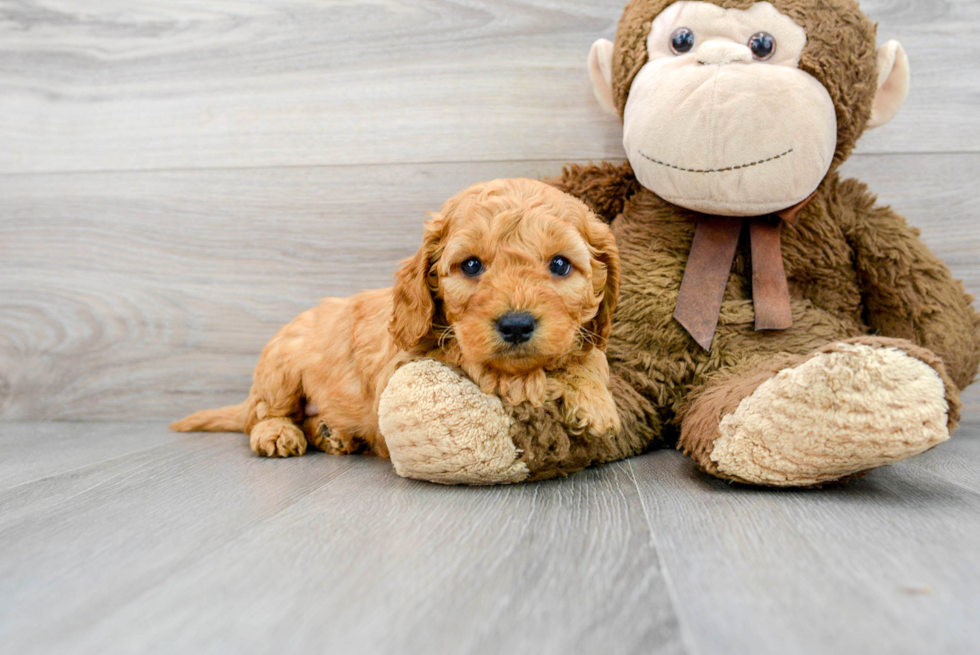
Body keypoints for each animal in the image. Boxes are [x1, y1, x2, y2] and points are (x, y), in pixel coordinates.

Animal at [172, 177, 620, 458]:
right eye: (471, 265)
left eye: (560, 265)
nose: (516, 325)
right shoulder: (401, 365)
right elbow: (462, 355)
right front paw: (524, 382)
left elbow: (591, 356)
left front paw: (595, 401)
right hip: (280, 368)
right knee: (263, 414)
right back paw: (280, 433)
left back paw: (332, 434)